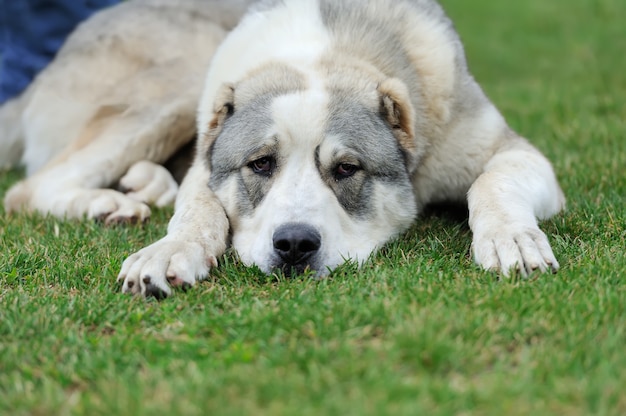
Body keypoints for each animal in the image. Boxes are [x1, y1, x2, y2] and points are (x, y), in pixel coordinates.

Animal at [0, 0, 564, 300]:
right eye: (260, 164)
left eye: (347, 169)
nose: (294, 245)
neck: (329, 51)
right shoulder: (210, 162)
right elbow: (199, 210)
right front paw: (168, 251)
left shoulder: (515, 153)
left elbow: (493, 180)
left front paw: (511, 238)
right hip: (182, 81)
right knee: (31, 188)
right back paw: (105, 203)